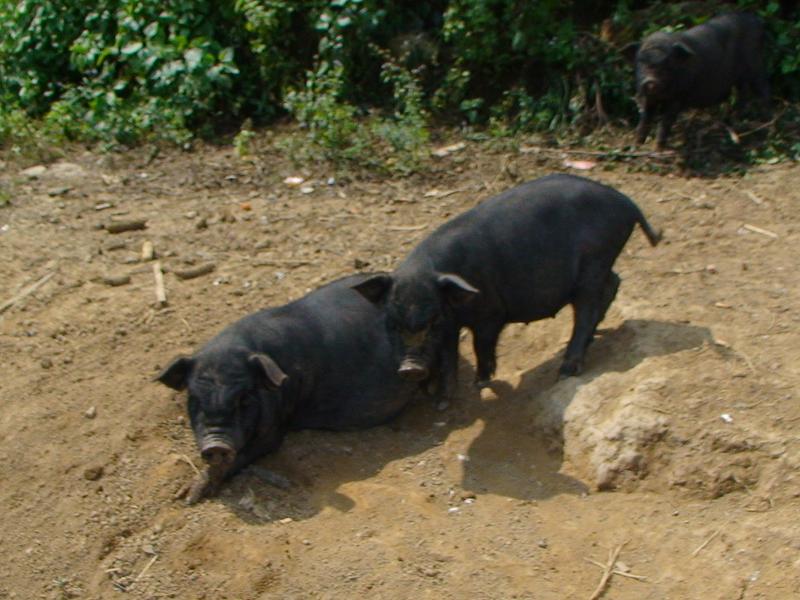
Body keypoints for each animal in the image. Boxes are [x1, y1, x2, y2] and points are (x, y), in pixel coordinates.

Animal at [155, 274, 418, 504]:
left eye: (244, 399)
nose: (216, 445)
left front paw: (189, 496)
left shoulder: (275, 427)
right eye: (194, 398)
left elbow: (247, 453)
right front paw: (182, 496)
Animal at [354, 173, 660, 394]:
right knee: (613, 283)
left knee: (587, 308)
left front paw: (481, 381)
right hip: (602, 262)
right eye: (392, 323)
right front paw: (442, 398)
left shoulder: (491, 312)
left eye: (432, 321)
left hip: (594, 263)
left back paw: (565, 372)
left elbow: (480, 344)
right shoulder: (453, 325)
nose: (410, 368)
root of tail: (627, 202)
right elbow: (449, 354)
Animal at [620, 12, 772, 149]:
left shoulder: (679, 96)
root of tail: (758, 21)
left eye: (667, 63)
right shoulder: (648, 97)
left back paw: (767, 123)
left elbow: (666, 121)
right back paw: (735, 122)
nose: (651, 81)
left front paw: (658, 148)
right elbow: (645, 118)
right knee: (742, 94)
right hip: (740, 78)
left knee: (764, 89)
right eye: (641, 61)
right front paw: (636, 146)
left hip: (755, 64)